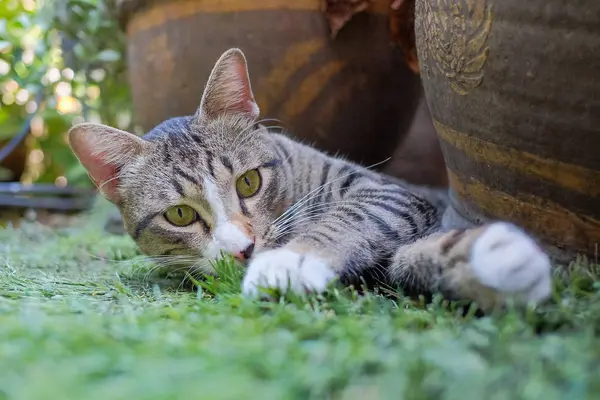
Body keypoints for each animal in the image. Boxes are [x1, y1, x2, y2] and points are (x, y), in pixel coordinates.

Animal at [68, 47, 552, 310]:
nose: (243, 250)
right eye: (180, 215)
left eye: (248, 183)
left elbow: (359, 216)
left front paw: (291, 261)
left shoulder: (390, 193)